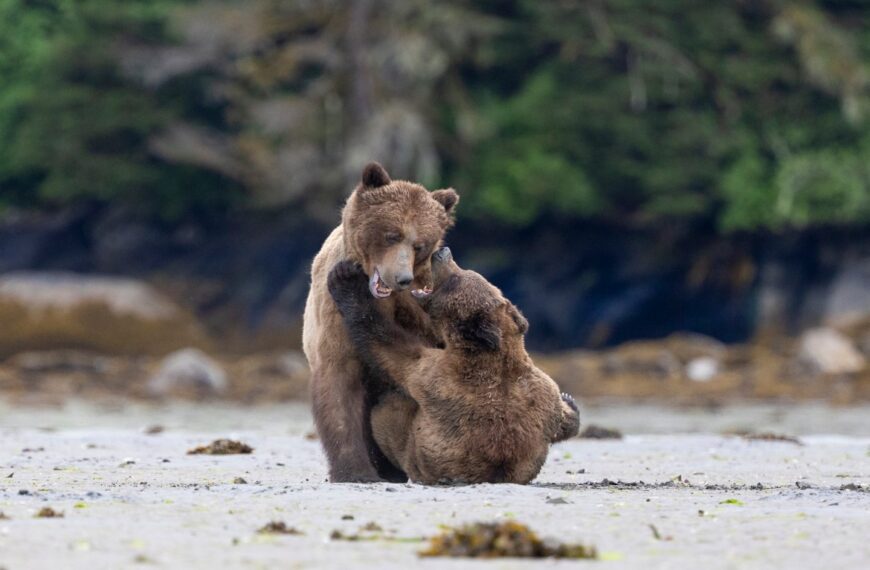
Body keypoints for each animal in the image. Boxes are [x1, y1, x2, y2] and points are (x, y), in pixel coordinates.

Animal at [302, 162, 459, 482]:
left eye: (419, 244)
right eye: (391, 234)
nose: (401, 278)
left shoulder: (421, 307)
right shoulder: (334, 317)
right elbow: (339, 382)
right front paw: (354, 470)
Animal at [327, 247, 581, 485]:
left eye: (456, 277)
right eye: (467, 270)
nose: (442, 252)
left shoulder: (436, 375)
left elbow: (388, 347)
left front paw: (345, 278)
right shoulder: (543, 391)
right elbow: (557, 420)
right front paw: (569, 402)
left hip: (407, 443)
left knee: (387, 410)